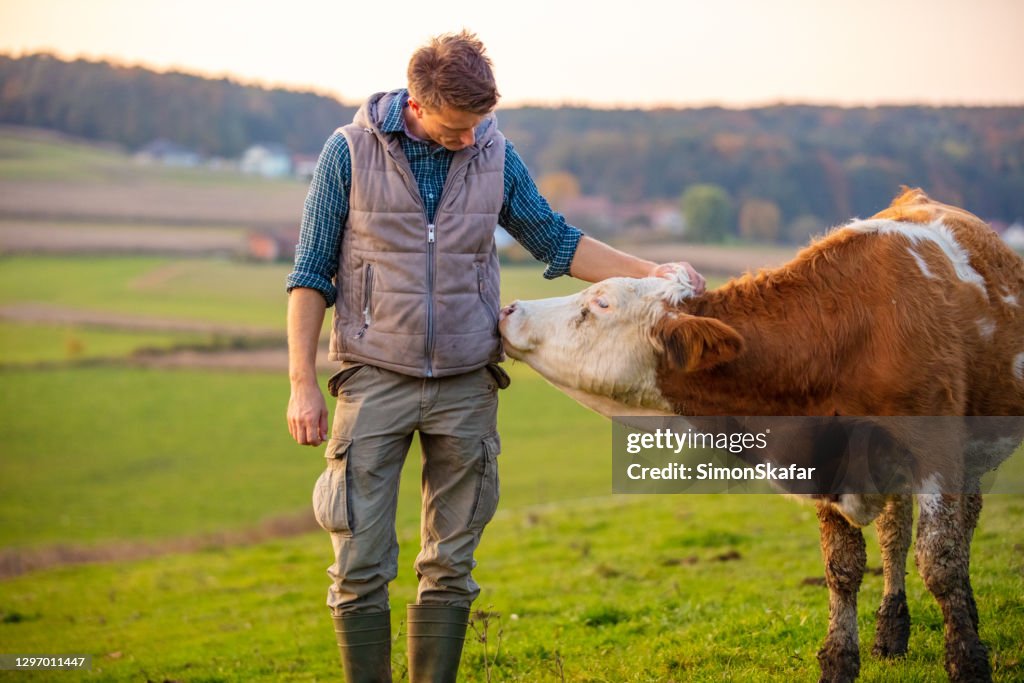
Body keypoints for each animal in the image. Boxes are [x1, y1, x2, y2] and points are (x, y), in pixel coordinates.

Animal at [498, 189, 1024, 683]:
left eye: (600, 303)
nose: (509, 310)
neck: (847, 334)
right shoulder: (825, 458)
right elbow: (843, 568)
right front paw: (839, 662)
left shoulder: (937, 454)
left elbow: (940, 560)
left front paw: (968, 661)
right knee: (895, 533)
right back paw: (891, 631)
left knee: (958, 527)